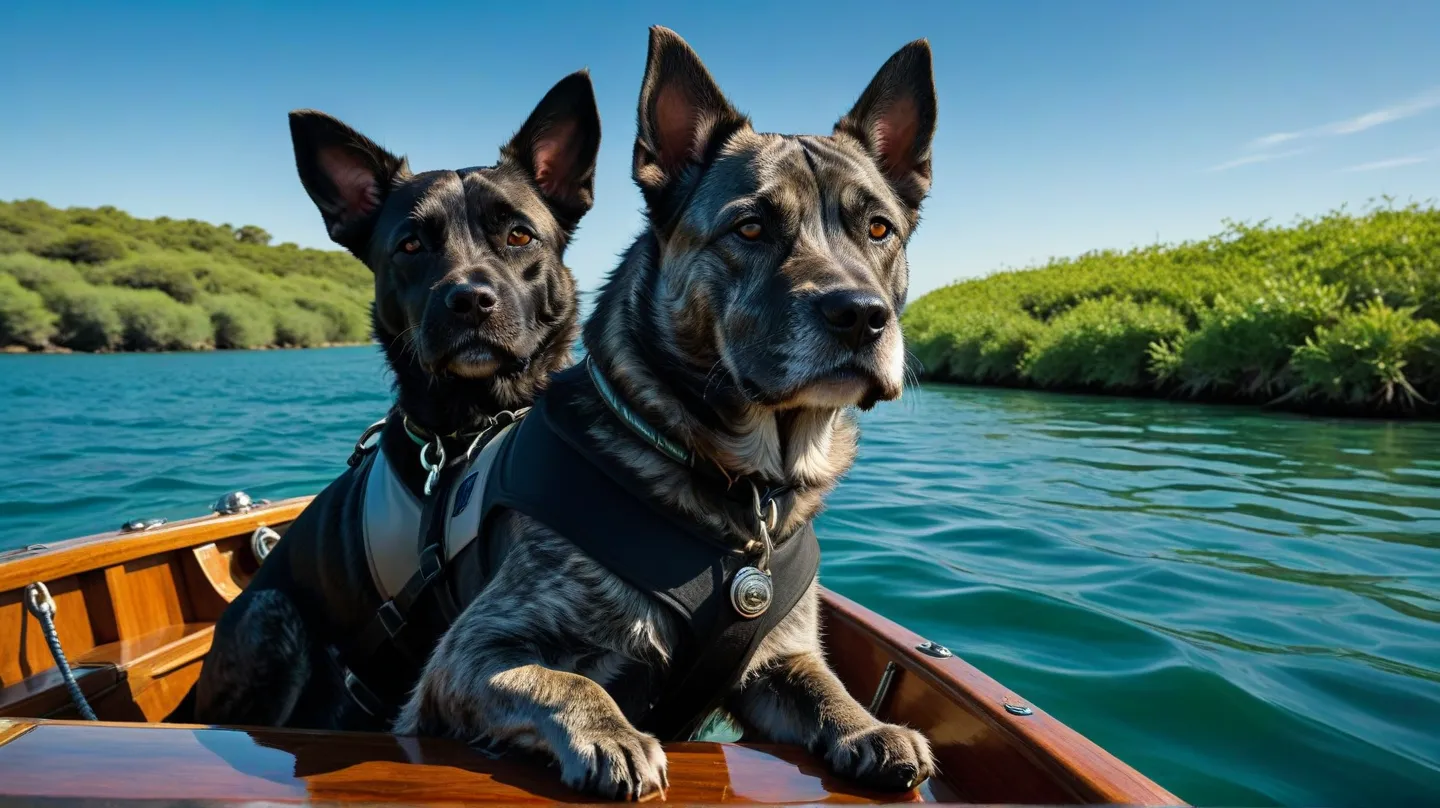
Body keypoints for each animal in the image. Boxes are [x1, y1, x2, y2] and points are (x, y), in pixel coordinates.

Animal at [397, 25, 933, 800]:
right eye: (750, 228)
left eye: (880, 228)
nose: (862, 316)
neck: (734, 490)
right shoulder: (472, 652)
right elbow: (567, 680)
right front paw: (612, 733)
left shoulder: (778, 657)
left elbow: (825, 684)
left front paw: (867, 726)